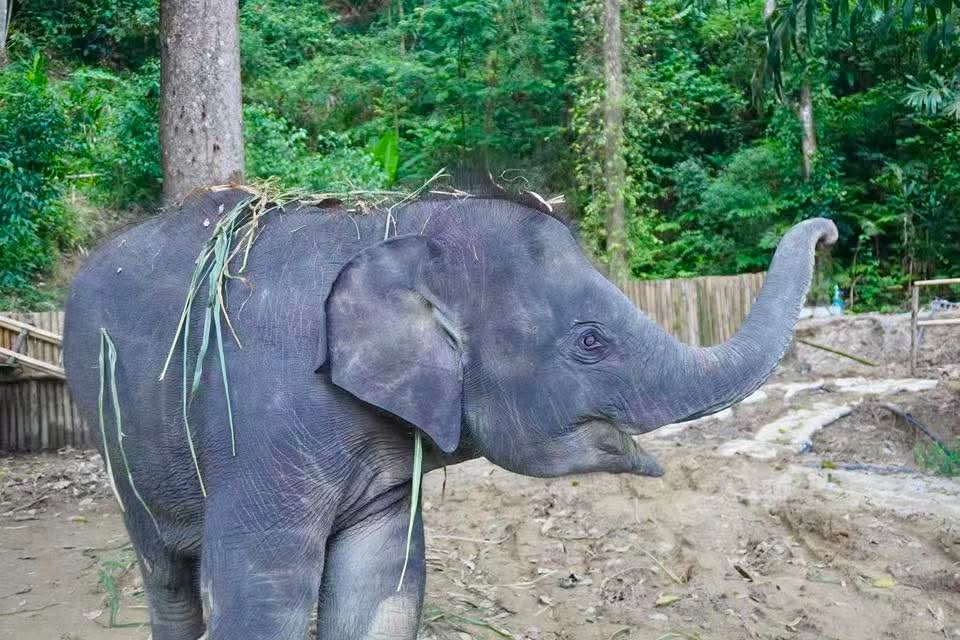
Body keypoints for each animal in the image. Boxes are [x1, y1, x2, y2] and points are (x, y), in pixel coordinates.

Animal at [63, 188, 837, 640]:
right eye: (591, 342)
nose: (829, 231)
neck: (401, 225)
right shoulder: (264, 429)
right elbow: (262, 600)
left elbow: (382, 592)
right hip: (115, 440)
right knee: (167, 578)